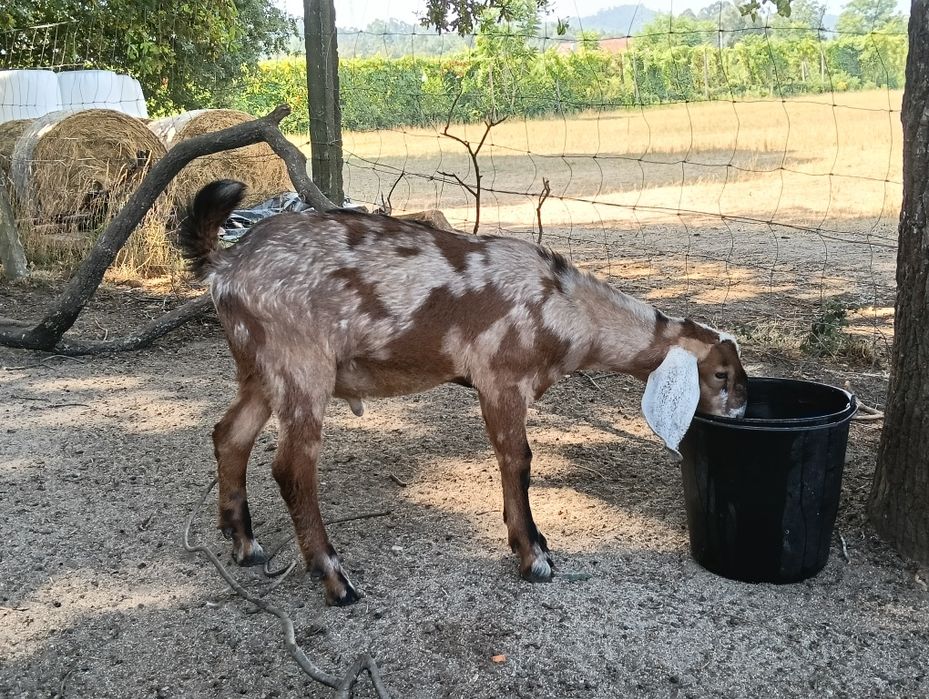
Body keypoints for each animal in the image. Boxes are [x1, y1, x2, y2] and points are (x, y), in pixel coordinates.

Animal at [178, 179, 748, 606]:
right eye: (721, 375)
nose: (742, 409)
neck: (564, 307)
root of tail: (226, 267)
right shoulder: (501, 378)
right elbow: (517, 459)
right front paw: (533, 556)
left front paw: (535, 545)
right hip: (301, 365)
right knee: (292, 466)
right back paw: (335, 578)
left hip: (260, 370)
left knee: (230, 435)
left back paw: (245, 545)